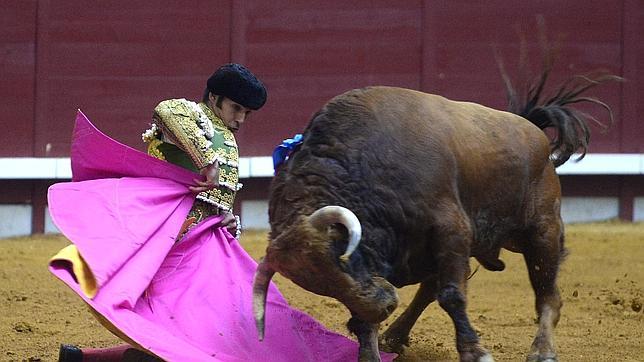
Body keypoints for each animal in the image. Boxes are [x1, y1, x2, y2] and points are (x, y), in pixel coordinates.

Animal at [252, 61, 620, 360]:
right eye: (323, 286)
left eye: (341, 257)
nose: (385, 305)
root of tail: (532, 129)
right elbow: (371, 318)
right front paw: (372, 351)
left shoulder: (451, 229)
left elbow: (453, 296)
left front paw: (476, 353)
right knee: (429, 289)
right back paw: (394, 337)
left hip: (541, 232)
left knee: (547, 295)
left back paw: (543, 352)